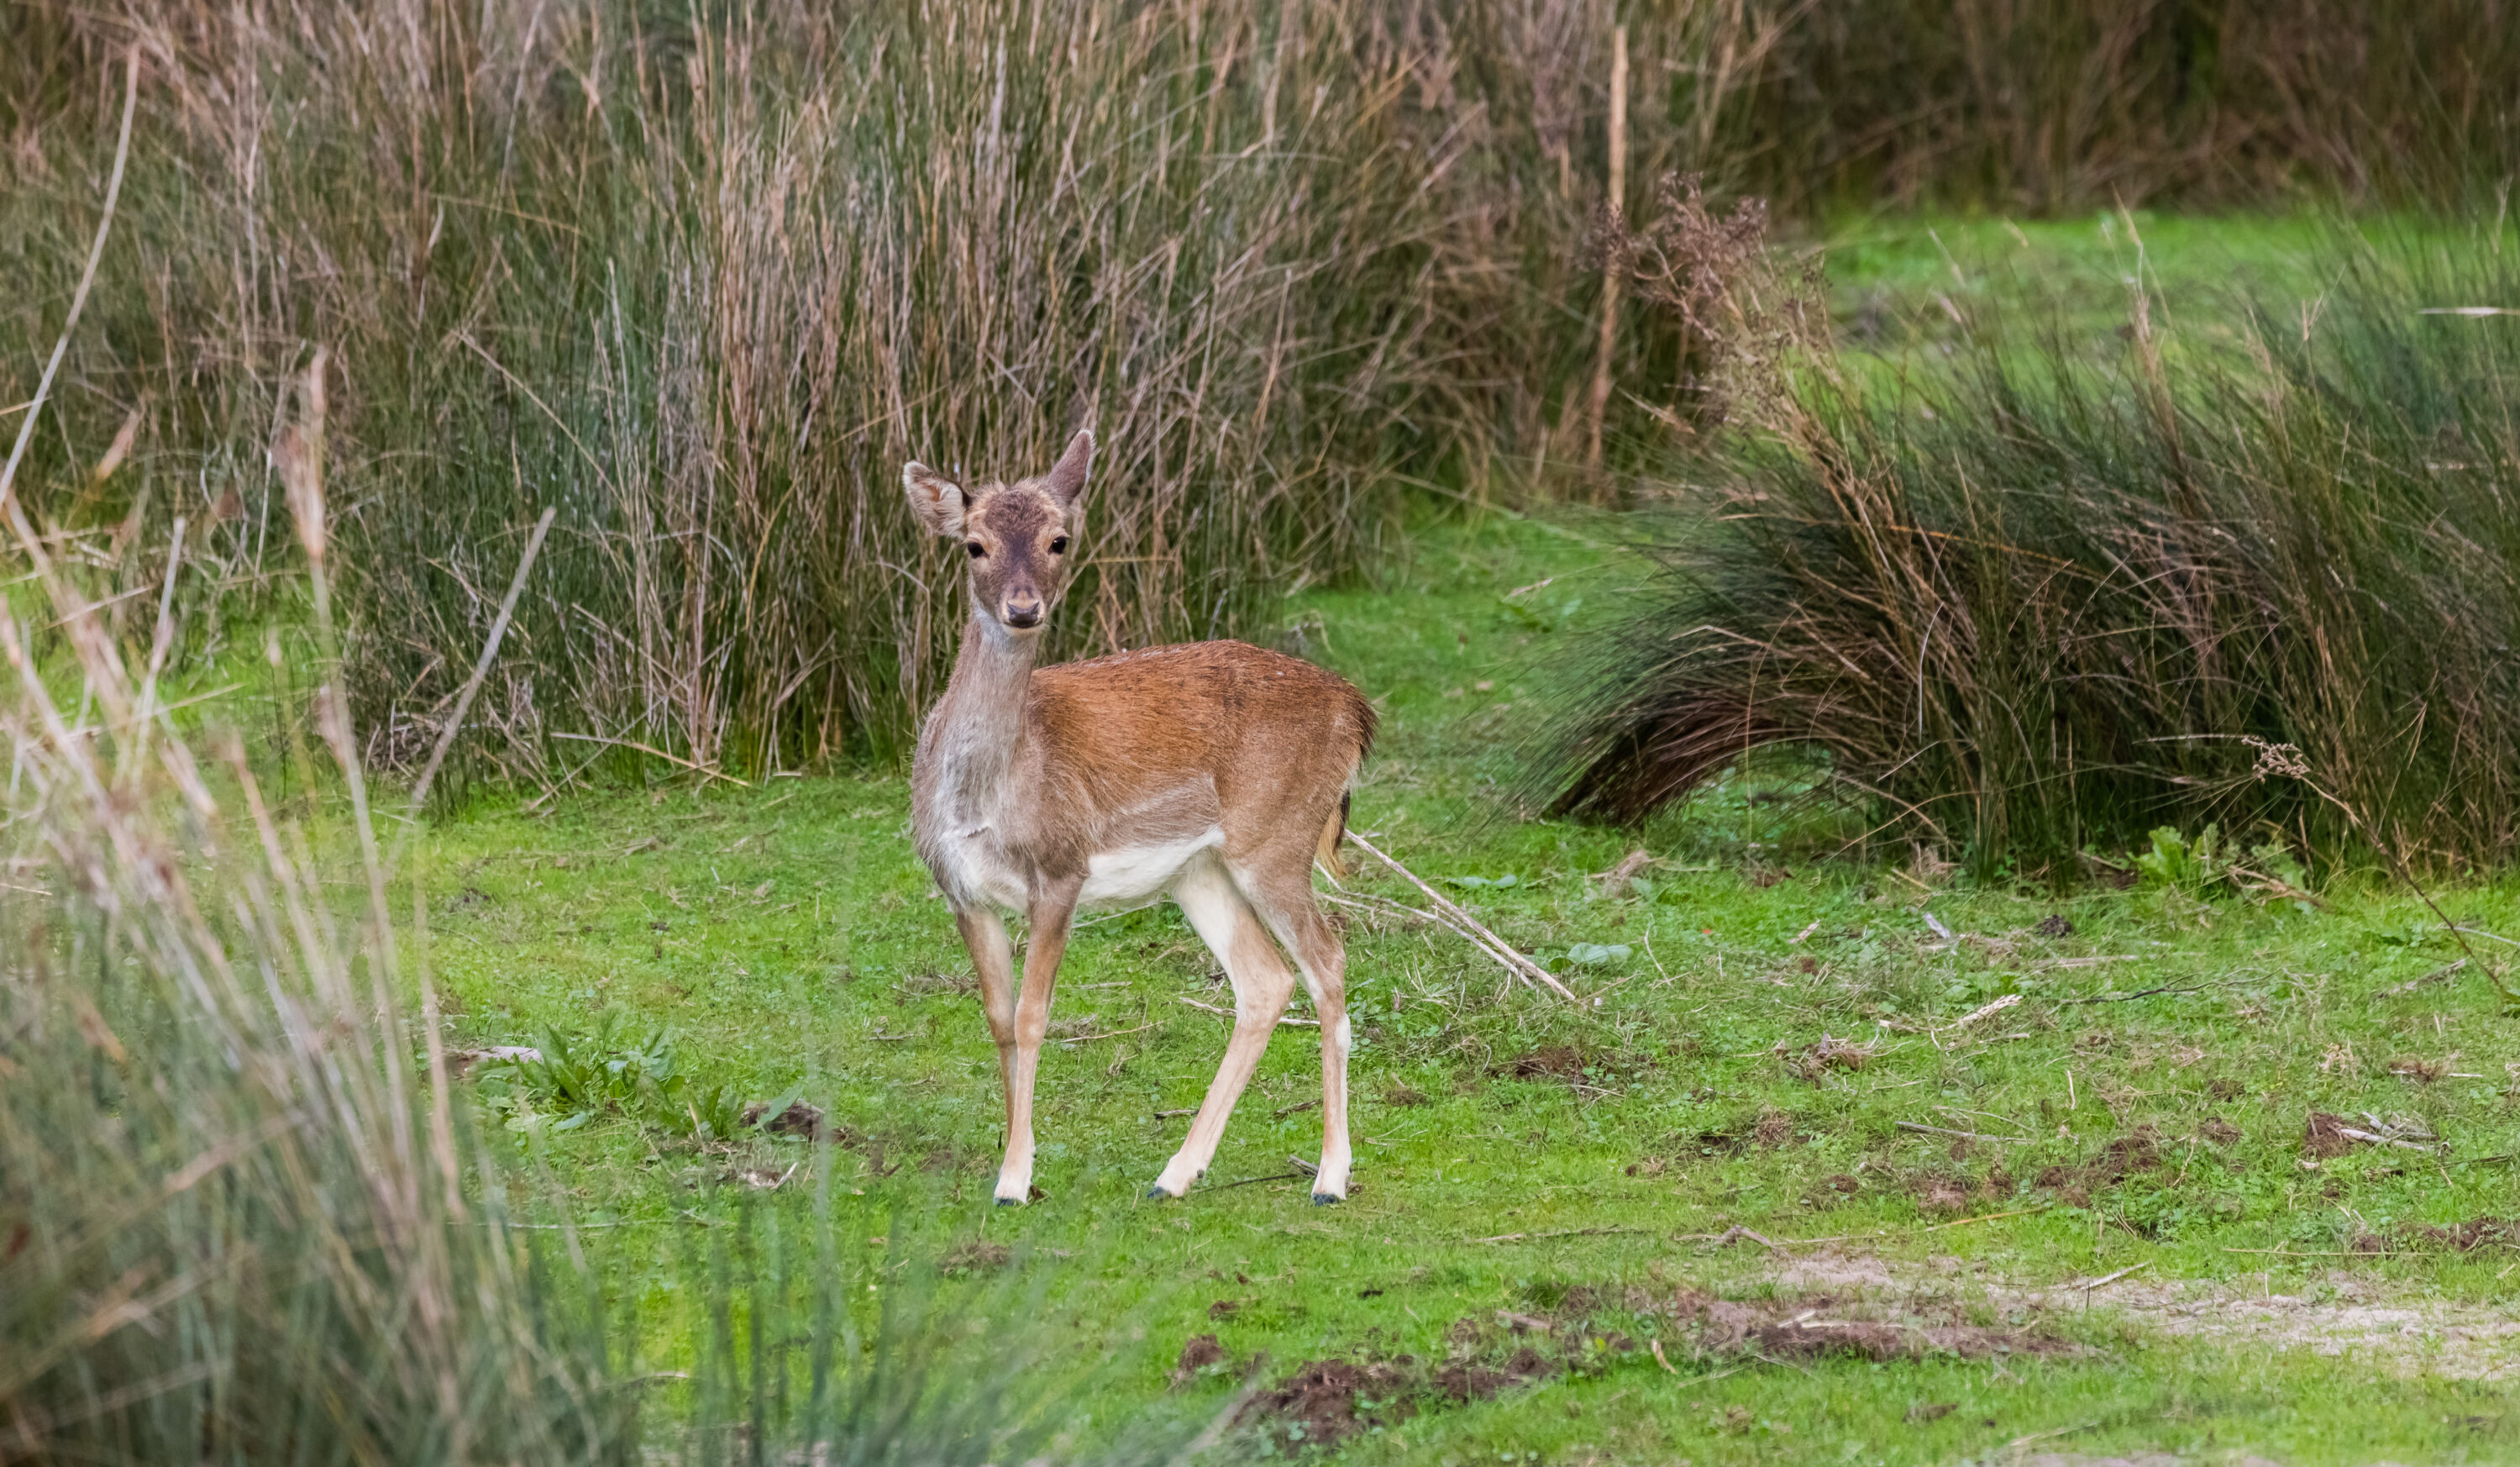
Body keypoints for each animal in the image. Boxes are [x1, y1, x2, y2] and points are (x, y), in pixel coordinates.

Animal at [901, 430, 1375, 1207]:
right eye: (973, 545)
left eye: (1059, 540)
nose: (1024, 609)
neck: (987, 796)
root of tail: (1357, 710)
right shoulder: (959, 889)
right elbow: (998, 1020)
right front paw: (1012, 1162)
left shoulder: (1061, 869)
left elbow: (1032, 1018)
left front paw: (1015, 1180)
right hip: (1199, 870)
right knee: (1264, 980)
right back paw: (1176, 1174)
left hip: (1278, 835)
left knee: (1328, 961)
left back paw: (1330, 1177)